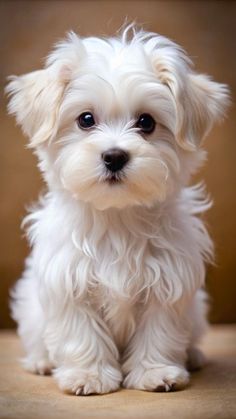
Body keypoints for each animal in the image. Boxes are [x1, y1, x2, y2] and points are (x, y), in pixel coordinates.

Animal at [6, 27, 229, 398]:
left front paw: (156, 372)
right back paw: (41, 362)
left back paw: (194, 356)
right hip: (30, 308)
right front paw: (88, 376)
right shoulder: (69, 283)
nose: (114, 156)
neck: (117, 216)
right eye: (86, 120)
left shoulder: (167, 283)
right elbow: (80, 333)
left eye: (146, 122)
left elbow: (160, 331)